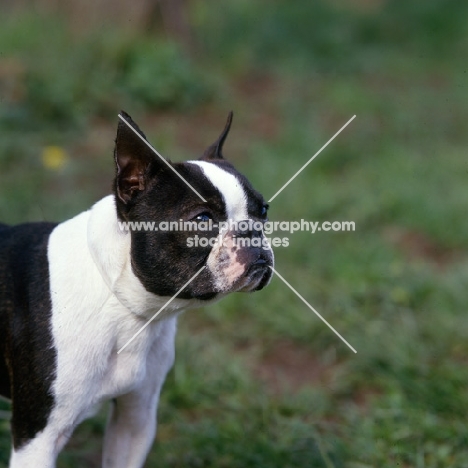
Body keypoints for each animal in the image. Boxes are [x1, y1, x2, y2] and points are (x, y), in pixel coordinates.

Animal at [0, 113, 274, 468]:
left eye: (263, 211)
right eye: (202, 219)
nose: (250, 230)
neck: (123, 306)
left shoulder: (135, 418)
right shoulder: (37, 437)